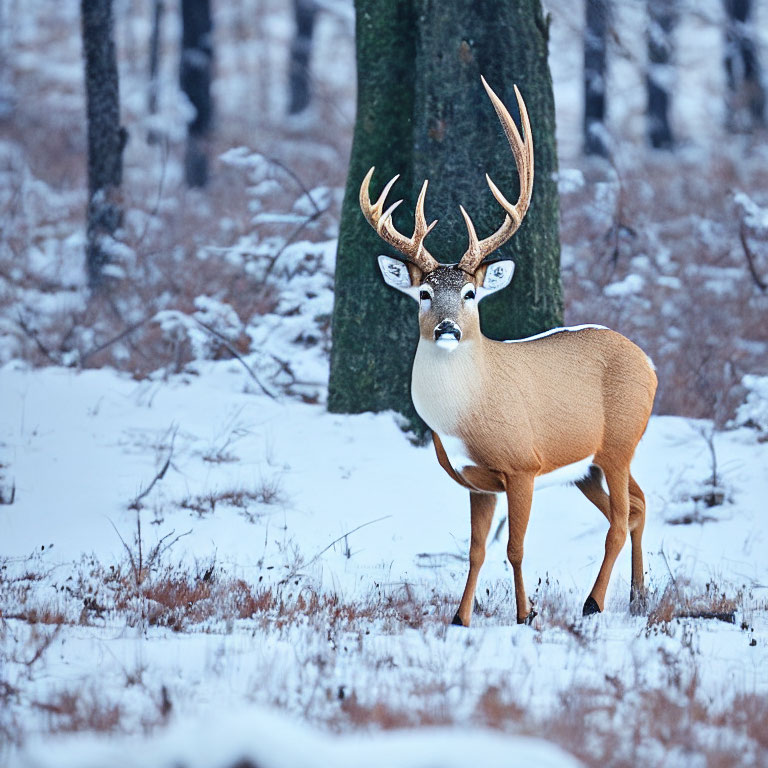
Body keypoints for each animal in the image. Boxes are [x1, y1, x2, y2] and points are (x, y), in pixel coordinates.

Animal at [358, 78, 656, 628]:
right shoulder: (475, 482)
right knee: (637, 507)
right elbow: (475, 550)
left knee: (620, 518)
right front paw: (460, 618)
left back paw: (594, 602)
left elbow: (514, 547)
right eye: (423, 293)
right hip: (586, 465)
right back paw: (638, 597)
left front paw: (525, 614)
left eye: (471, 293)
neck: (464, 415)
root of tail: (647, 361)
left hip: (620, 440)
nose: (448, 328)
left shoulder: (523, 465)